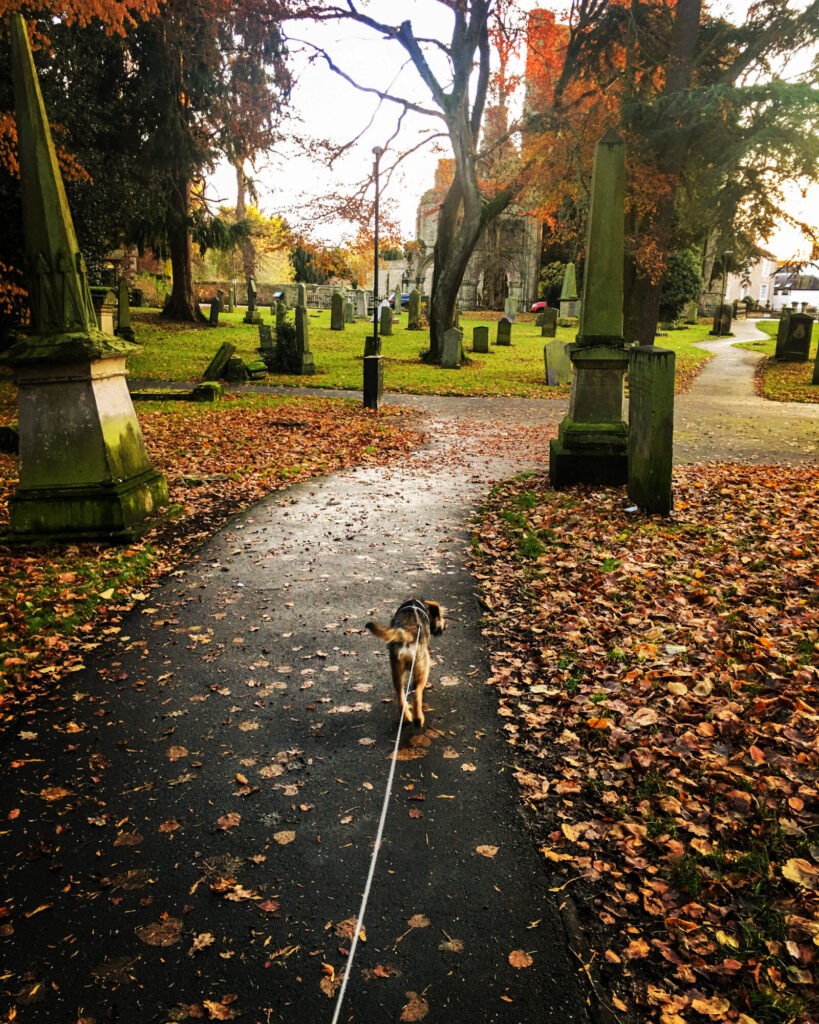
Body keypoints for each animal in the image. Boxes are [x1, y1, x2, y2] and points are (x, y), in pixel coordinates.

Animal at [366, 598, 444, 733]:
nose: (445, 626)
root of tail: (406, 635)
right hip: (423, 668)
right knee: (417, 694)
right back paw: (418, 719)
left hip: (396, 670)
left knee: (400, 695)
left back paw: (407, 717)